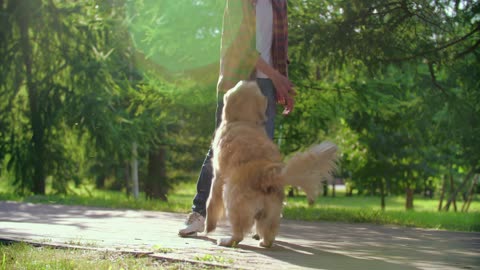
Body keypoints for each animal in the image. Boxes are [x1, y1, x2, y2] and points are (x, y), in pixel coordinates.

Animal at [206, 81, 338, 248]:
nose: (253, 79)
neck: (244, 121)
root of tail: (266, 174)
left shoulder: (217, 176)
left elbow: (211, 202)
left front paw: (208, 226)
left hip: (232, 199)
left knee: (239, 233)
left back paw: (226, 240)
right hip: (271, 211)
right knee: (268, 233)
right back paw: (264, 242)